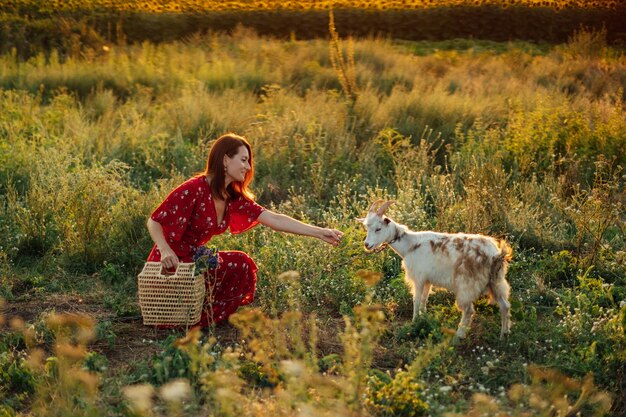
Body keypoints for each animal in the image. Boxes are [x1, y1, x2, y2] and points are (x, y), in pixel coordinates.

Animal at [356, 199, 512, 338]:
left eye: (378, 228)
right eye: (367, 228)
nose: (367, 245)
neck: (409, 245)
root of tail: (496, 255)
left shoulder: (418, 278)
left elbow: (416, 300)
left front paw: (414, 322)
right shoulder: (427, 280)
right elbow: (424, 300)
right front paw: (423, 318)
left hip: (467, 284)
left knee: (468, 310)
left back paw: (459, 335)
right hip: (496, 282)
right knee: (505, 306)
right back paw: (504, 335)